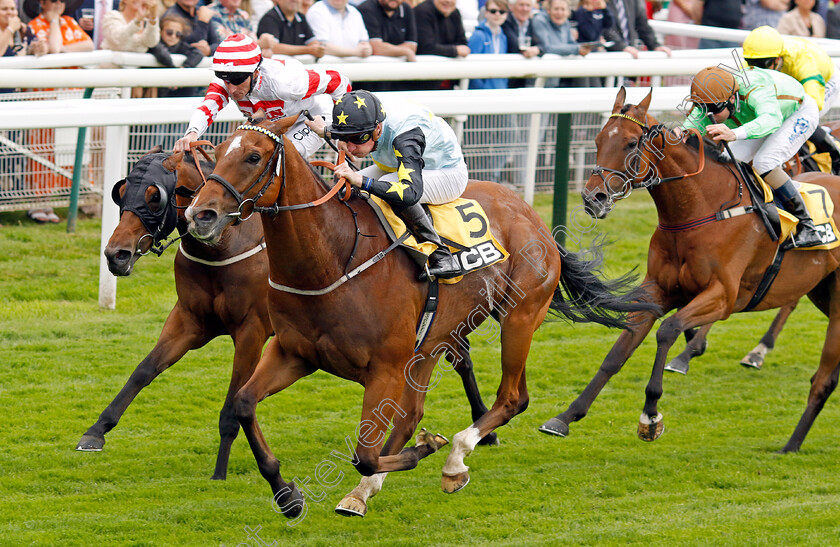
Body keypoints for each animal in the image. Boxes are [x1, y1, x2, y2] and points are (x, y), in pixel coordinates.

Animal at [187, 115, 652, 520]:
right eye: (216, 153)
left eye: (253, 156)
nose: (199, 215)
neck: (332, 258)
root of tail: (532, 216)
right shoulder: (293, 352)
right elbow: (244, 403)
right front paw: (287, 495)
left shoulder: (385, 368)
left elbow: (365, 454)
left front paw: (427, 451)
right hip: (433, 341)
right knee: (412, 415)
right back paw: (367, 491)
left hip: (519, 318)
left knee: (512, 398)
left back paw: (454, 459)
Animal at [540, 88, 840, 452]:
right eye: (597, 140)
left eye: (630, 143)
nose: (592, 198)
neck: (702, 209)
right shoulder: (658, 290)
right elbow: (617, 353)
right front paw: (565, 417)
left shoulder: (724, 296)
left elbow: (668, 329)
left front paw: (651, 414)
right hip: (821, 290)